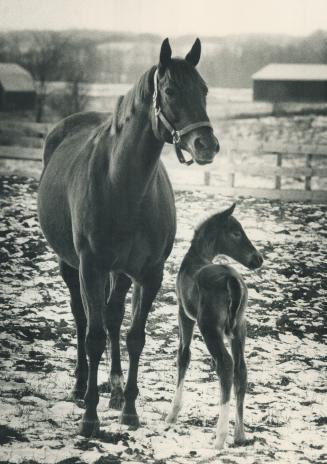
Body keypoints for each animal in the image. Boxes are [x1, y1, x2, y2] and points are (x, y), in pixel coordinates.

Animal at [167, 204, 264, 450]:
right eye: (236, 233)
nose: (258, 259)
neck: (196, 257)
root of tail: (232, 280)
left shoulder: (184, 313)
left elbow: (183, 355)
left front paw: (172, 414)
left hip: (209, 327)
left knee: (226, 365)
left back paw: (220, 437)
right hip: (240, 328)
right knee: (240, 369)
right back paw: (239, 434)